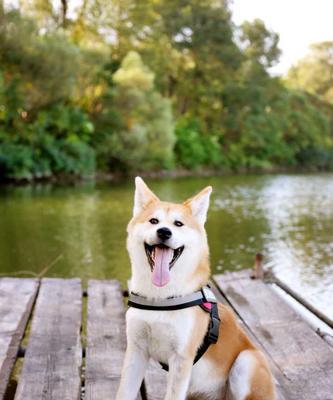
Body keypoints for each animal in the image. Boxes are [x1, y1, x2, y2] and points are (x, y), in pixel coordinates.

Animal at [115, 178, 274, 400]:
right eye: (154, 221)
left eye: (178, 224)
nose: (164, 232)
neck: (160, 297)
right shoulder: (136, 351)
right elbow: (124, 392)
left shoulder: (181, 359)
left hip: (246, 362)